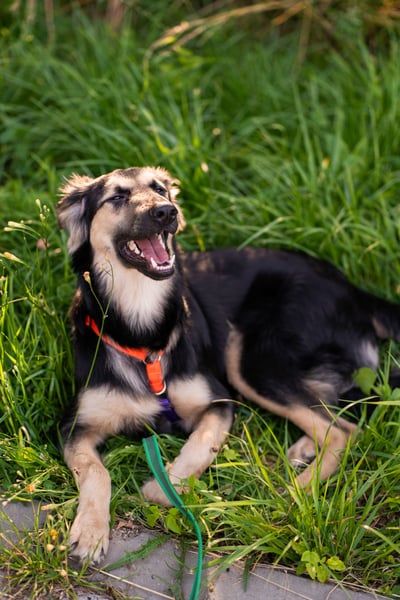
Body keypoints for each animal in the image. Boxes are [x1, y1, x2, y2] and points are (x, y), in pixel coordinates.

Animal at [57, 166, 400, 563]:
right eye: (117, 197)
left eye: (160, 190)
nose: (166, 212)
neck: (143, 334)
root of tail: (354, 290)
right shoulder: (74, 426)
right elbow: (96, 472)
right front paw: (90, 532)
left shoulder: (219, 402)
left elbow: (198, 447)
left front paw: (163, 488)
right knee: (333, 416)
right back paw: (303, 452)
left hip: (250, 359)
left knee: (344, 430)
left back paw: (293, 492)